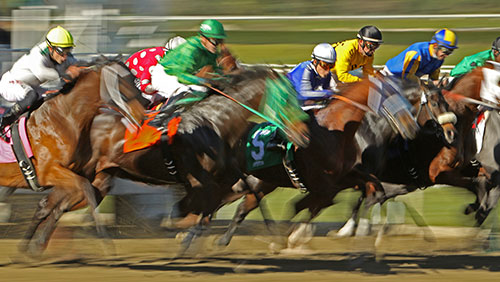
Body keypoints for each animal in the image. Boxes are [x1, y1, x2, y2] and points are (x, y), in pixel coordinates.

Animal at [0, 58, 144, 254]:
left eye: (134, 80)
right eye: (121, 84)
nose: (143, 115)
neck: (63, 119)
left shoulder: (72, 173)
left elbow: (60, 202)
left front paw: (32, 246)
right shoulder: (48, 172)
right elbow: (85, 189)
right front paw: (105, 238)